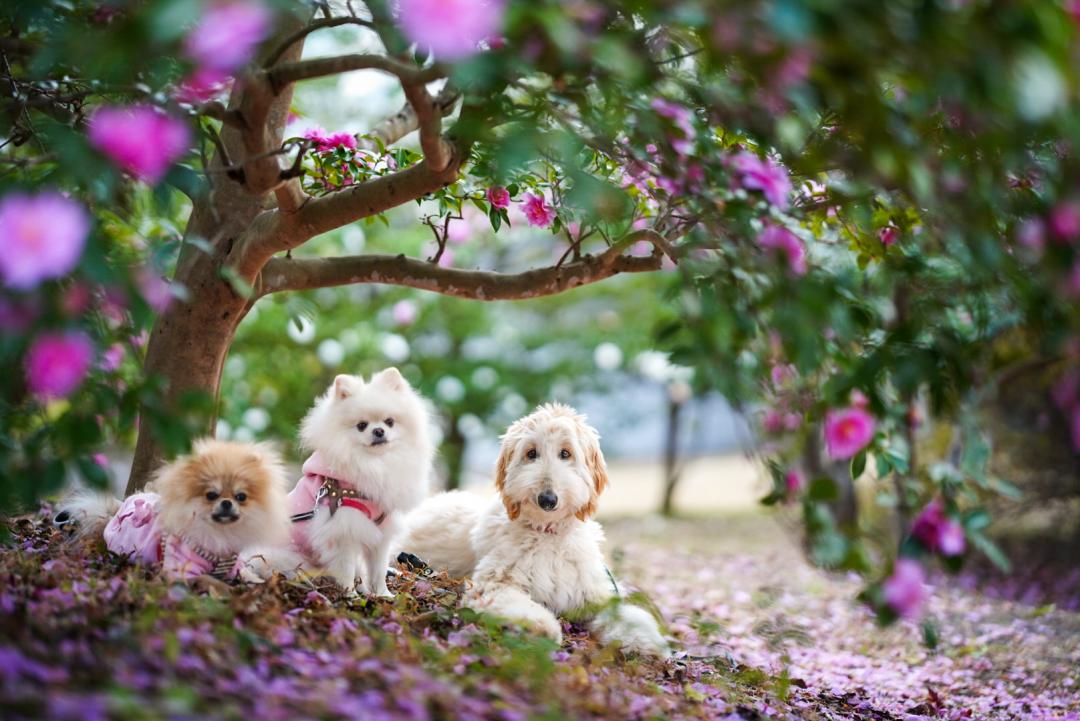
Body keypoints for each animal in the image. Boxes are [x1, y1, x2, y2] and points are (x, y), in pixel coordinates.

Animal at [56, 436, 293, 582]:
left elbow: (243, 573)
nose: (227, 502)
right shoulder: (184, 569)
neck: (218, 534)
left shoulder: (232, 565)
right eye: (211, 495)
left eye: (241, 497)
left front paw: (255, 580)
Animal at [291, 366, 438, 595]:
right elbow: (347, 568)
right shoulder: (343, 531)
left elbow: (378, 569)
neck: (374, 463)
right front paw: (349, 595)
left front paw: (383, 595)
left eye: (389, 422)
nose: (378, 431)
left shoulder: (381, 530)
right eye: (361, 425)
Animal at [399, 403, 665, 656]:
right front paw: (541, 627)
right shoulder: (493, 584)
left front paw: (644, 638)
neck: (547, 533)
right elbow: (522, 605)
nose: (547, 499)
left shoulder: (594, 594)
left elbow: (625, 615)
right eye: (531, 453)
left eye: (565, 453)